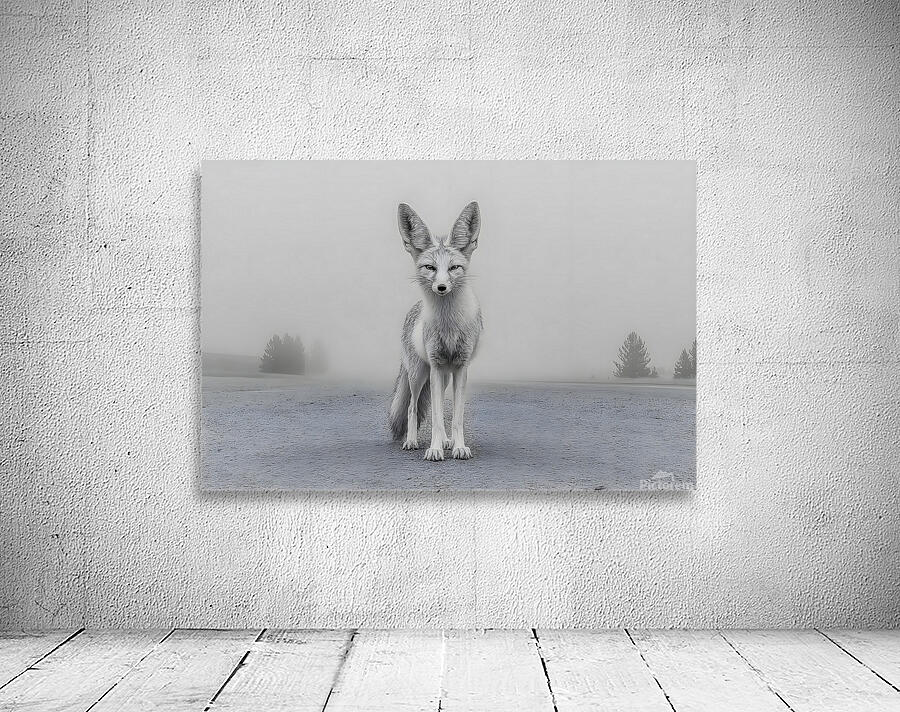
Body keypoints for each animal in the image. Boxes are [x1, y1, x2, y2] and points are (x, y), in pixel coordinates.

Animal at [388, 201, 483, 461]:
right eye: (430, 267)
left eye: (453, 268)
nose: (441, 287)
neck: (448, 324)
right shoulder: (436, 364)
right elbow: (437, 419)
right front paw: (434, 449)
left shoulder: (460, 367)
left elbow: (456, 418)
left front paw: (459, 446)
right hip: (420, 374)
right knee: (412, 407)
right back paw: (412, 441)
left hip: (443, 377)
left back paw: (447, 441)